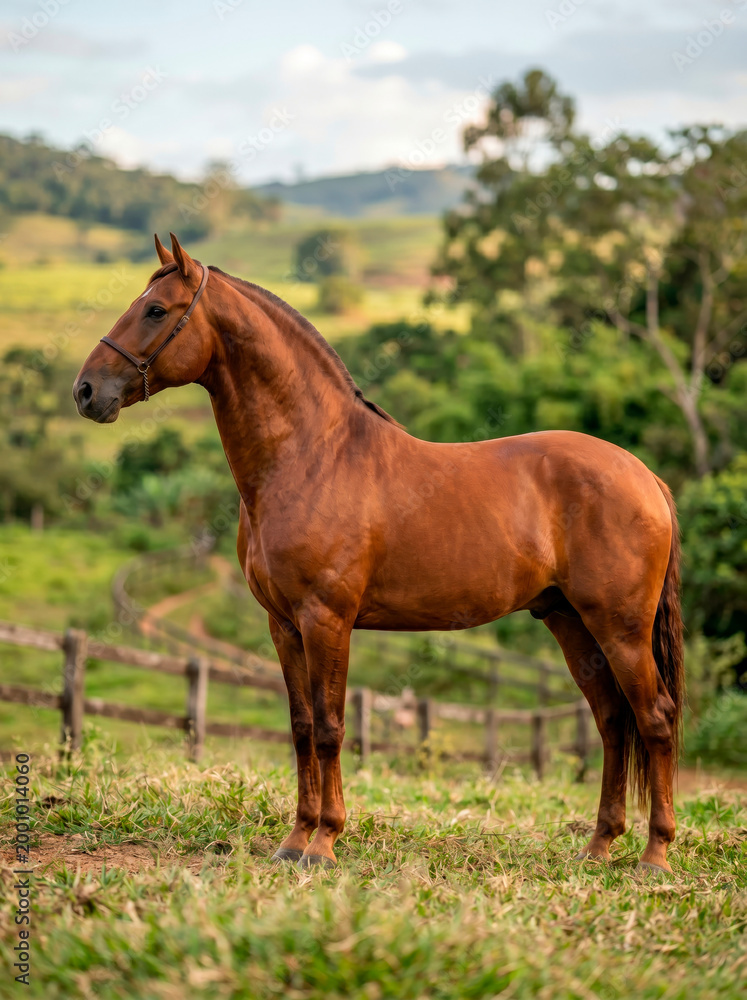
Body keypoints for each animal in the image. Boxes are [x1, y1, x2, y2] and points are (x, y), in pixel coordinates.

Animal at [73, 233, 684, 874]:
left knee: (655, 718)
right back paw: (598, 846)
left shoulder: (327, 620)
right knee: (613, 721)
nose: (86, 391)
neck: (311, 456)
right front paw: (294, 840)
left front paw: (324, 842)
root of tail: (644, 476)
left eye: (156, 310)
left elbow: (330, 727)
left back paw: (655, 854)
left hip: (619, 627)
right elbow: (300, 727)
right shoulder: (283, 625)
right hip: (569, 621)